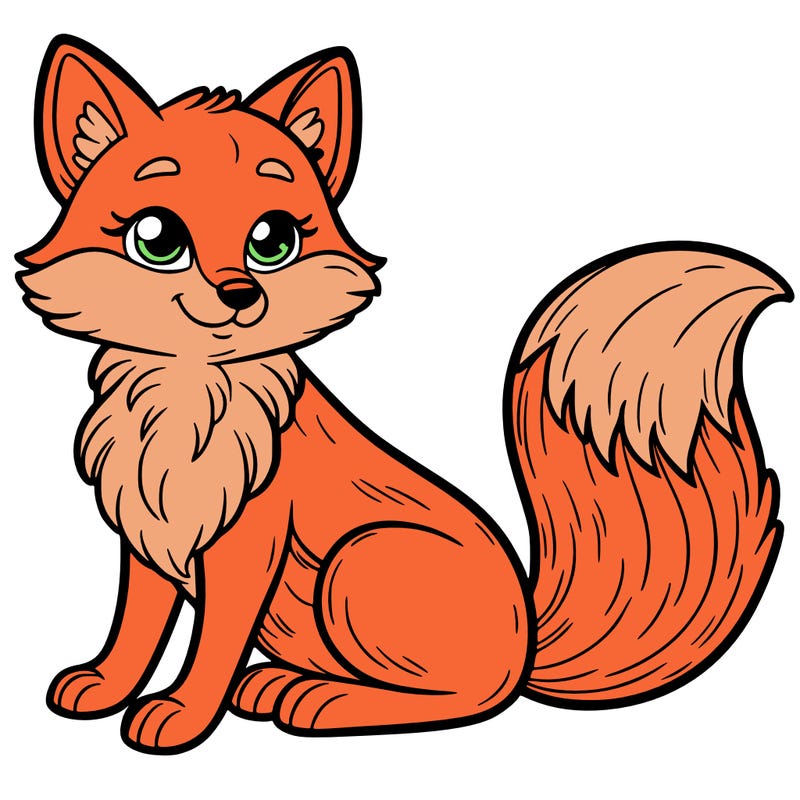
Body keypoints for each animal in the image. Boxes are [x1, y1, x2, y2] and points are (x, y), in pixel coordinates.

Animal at [17, 35, 791, 755]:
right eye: (157, 238)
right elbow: (135, 629)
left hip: (361, 559)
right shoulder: (148, 530)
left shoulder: (247, 544)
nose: (240, 295)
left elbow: (213, 643)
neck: (187, 394)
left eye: (273, 239)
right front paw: (105, 685)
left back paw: (323, 701)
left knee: (469, 700)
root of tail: (529, 642)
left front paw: (180, 715)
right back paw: (280, 684)